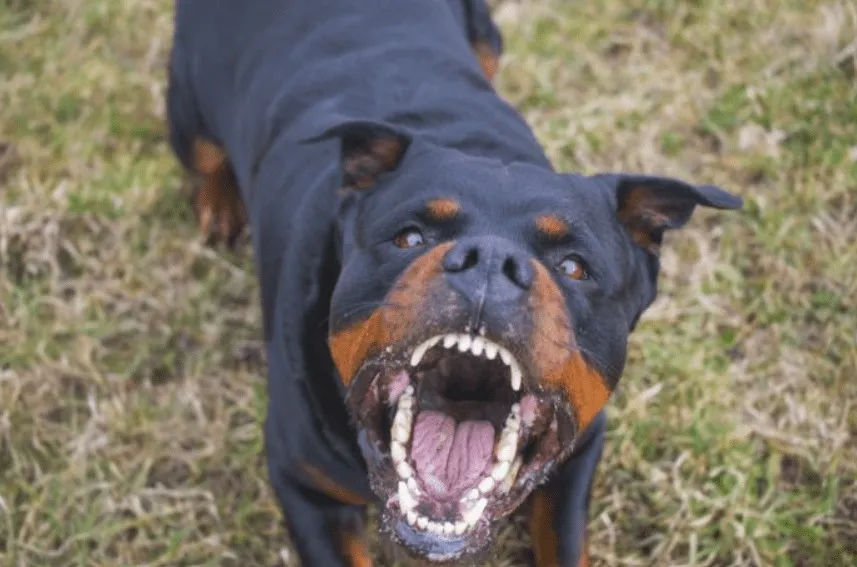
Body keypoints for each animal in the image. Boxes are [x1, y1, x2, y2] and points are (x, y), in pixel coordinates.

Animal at [167, 1, 744, 567]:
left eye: (574, 267)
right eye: (409, 237)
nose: (489, 259)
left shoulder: (578, 454)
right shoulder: (302, 483)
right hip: (187, 110)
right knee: (205, 155)